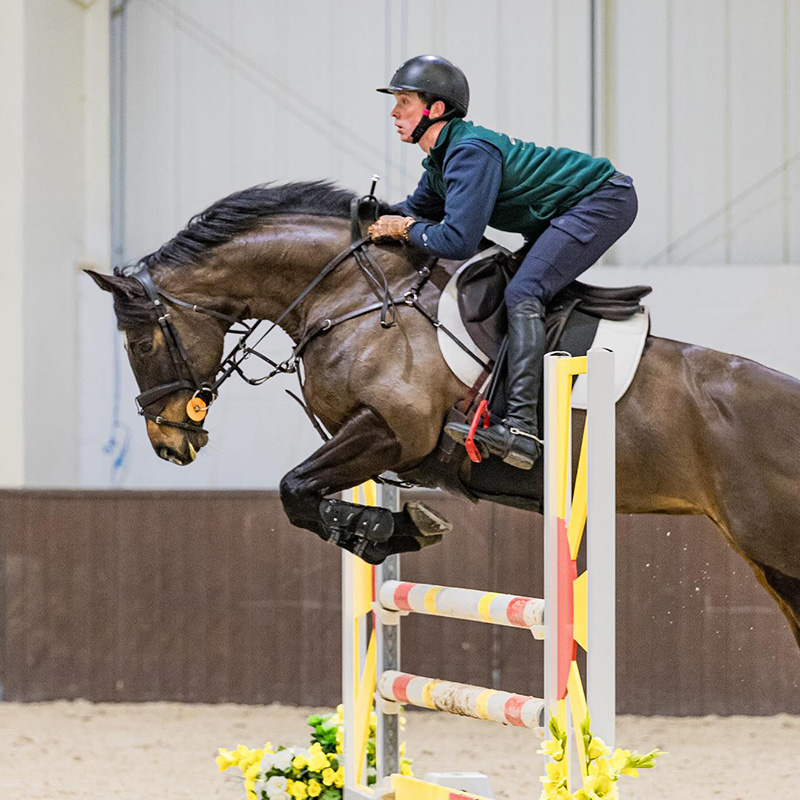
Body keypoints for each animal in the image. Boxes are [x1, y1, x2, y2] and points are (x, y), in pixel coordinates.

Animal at [86, 180, 800, 648]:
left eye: (141, 343)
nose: (167, 440)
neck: (348, 296)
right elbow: (308, 498)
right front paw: (385, 531)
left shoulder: (392, 432)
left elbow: (294, 490)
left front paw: (389, 529)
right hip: (770, 562)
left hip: (778, 550)